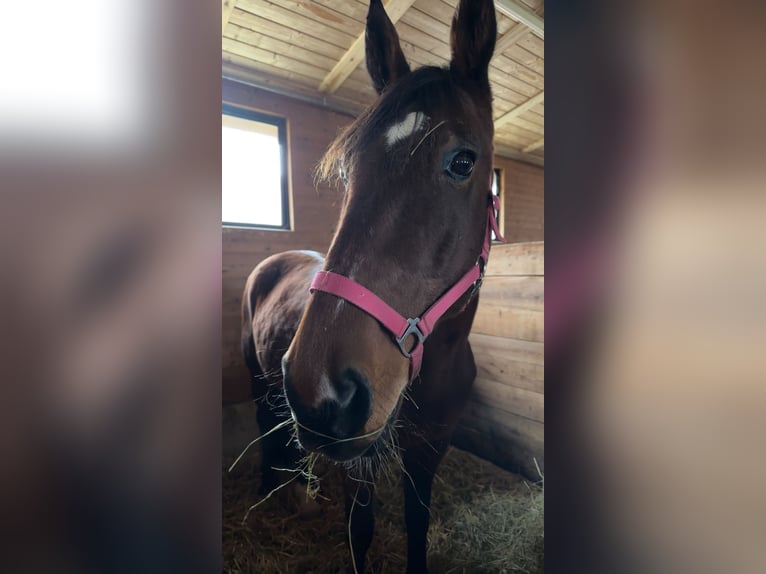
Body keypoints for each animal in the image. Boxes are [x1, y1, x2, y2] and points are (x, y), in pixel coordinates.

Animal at [241, 0, 499, 571]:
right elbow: (360, 532)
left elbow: (418, 524)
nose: (321, 393)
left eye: (463, 161)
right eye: (346, 172)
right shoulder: (359, 463)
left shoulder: (430, 449)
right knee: (265, 420)